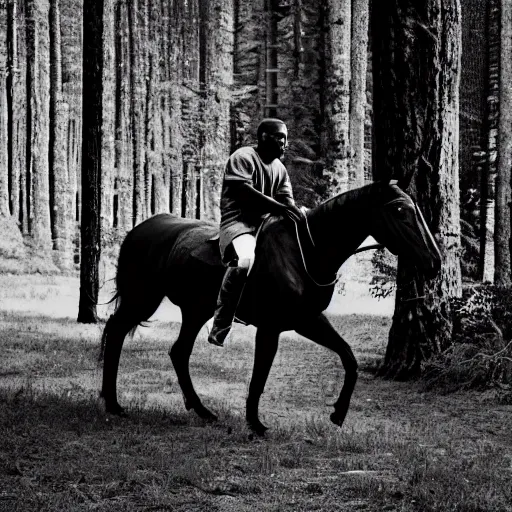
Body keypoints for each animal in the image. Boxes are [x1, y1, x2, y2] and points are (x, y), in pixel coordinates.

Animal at [99, 181, 440, 436]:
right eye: (399, 210)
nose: (434, 261)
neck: (308, 251)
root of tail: (137, 231)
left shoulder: (308, 320)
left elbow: (349, 358)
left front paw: (338, 413)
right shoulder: (271, 327)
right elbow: (259, 375)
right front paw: (254, 423)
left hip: (195, 311)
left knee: (178, 352)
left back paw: (202, 410)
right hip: (143, 300)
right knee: (116, 333)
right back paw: (113, 404)